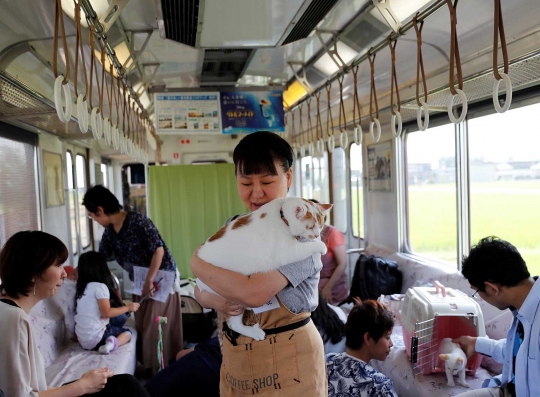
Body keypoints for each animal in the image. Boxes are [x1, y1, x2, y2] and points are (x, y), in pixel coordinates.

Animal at [198, 196, 334, 338]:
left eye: (320, 225)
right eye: (310, 227)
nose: (317, 235)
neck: (282, 215)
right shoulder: (287, 251)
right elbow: (307, 247)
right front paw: (321, 246)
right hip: (231, 296)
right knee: (233, 323)